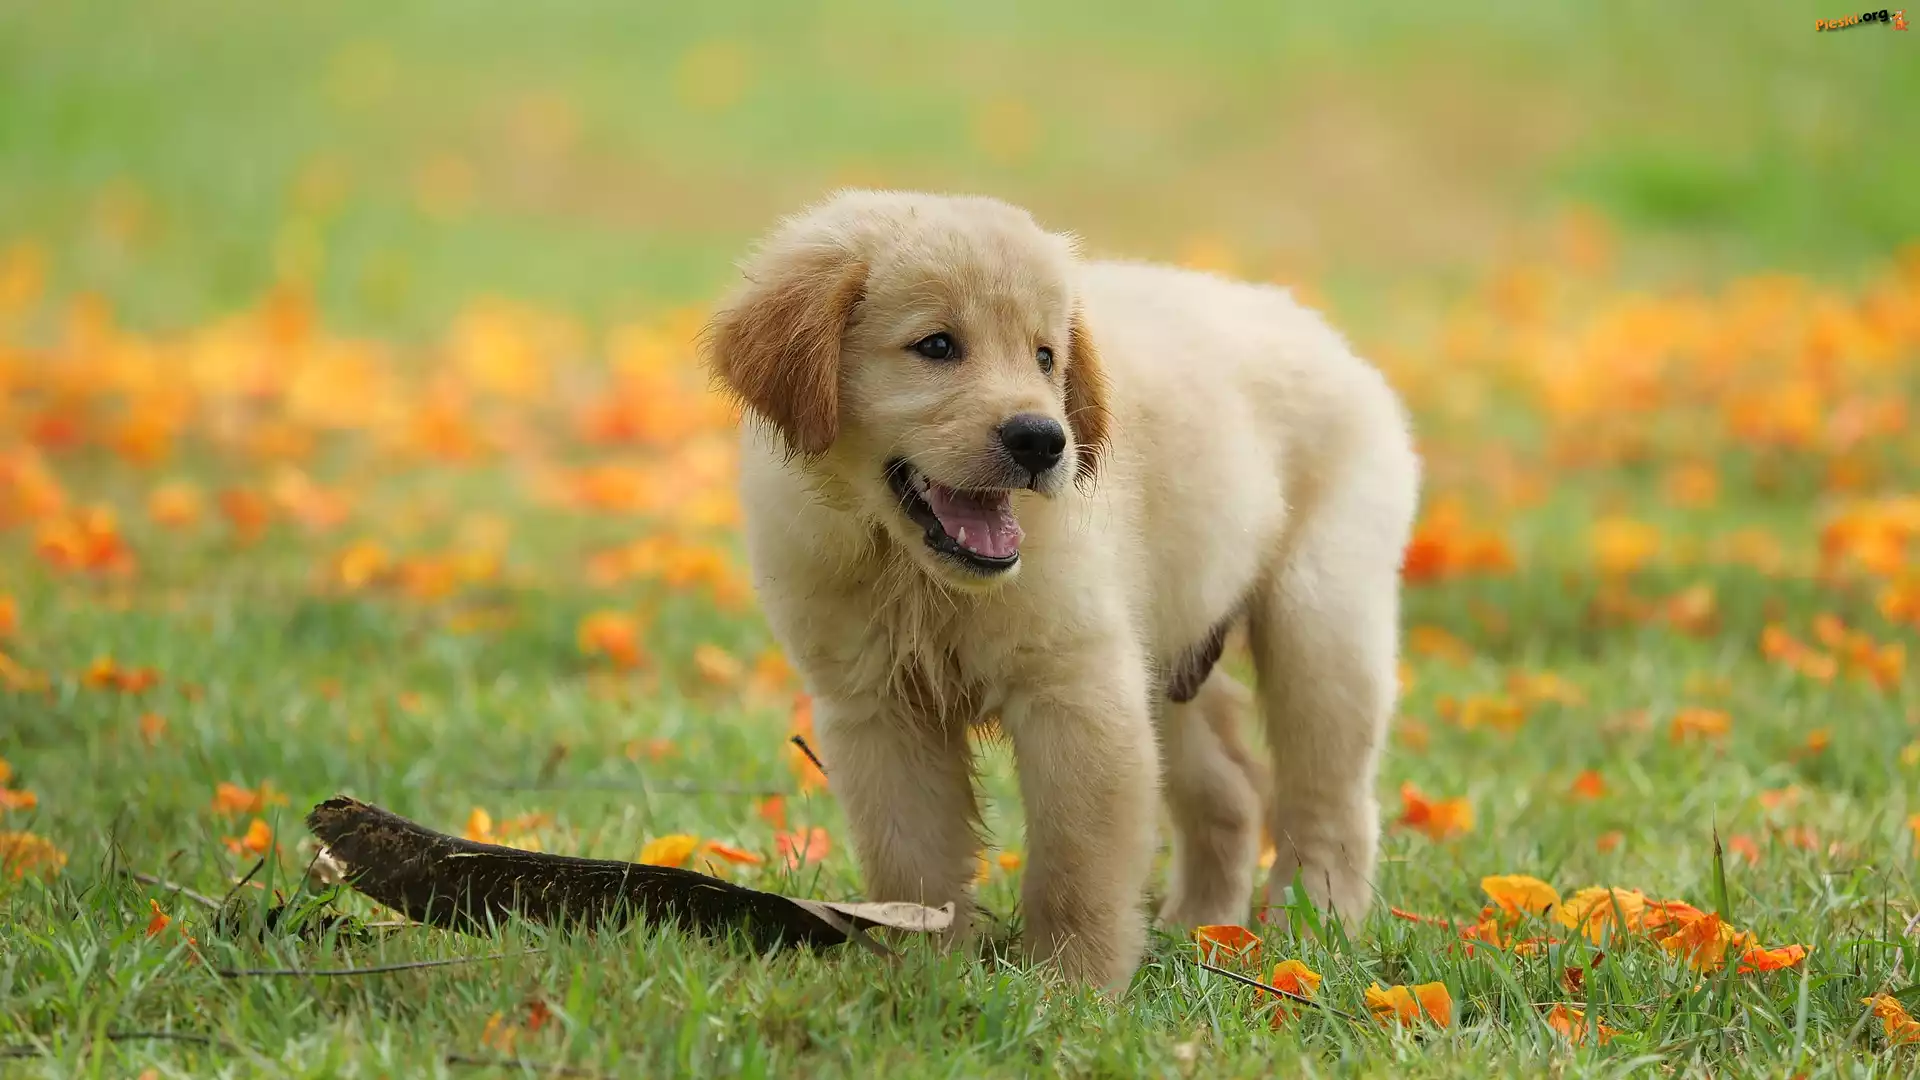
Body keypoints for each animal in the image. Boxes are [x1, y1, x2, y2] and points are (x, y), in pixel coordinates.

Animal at [702, 191, 1413, 983]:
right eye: (937, 346)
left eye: (1045, 357)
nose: (1043, 441)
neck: (914, 574)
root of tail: (1328, 339)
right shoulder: (878, 708)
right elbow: (911, 862)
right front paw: (923, 973)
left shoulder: (1079, 689)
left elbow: (1078, 866)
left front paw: (1072, 988)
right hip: (1167, 658)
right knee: (1230, 794)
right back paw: (1202, 930)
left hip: (1320, 624)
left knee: (1332, 805)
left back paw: (1313, 937)